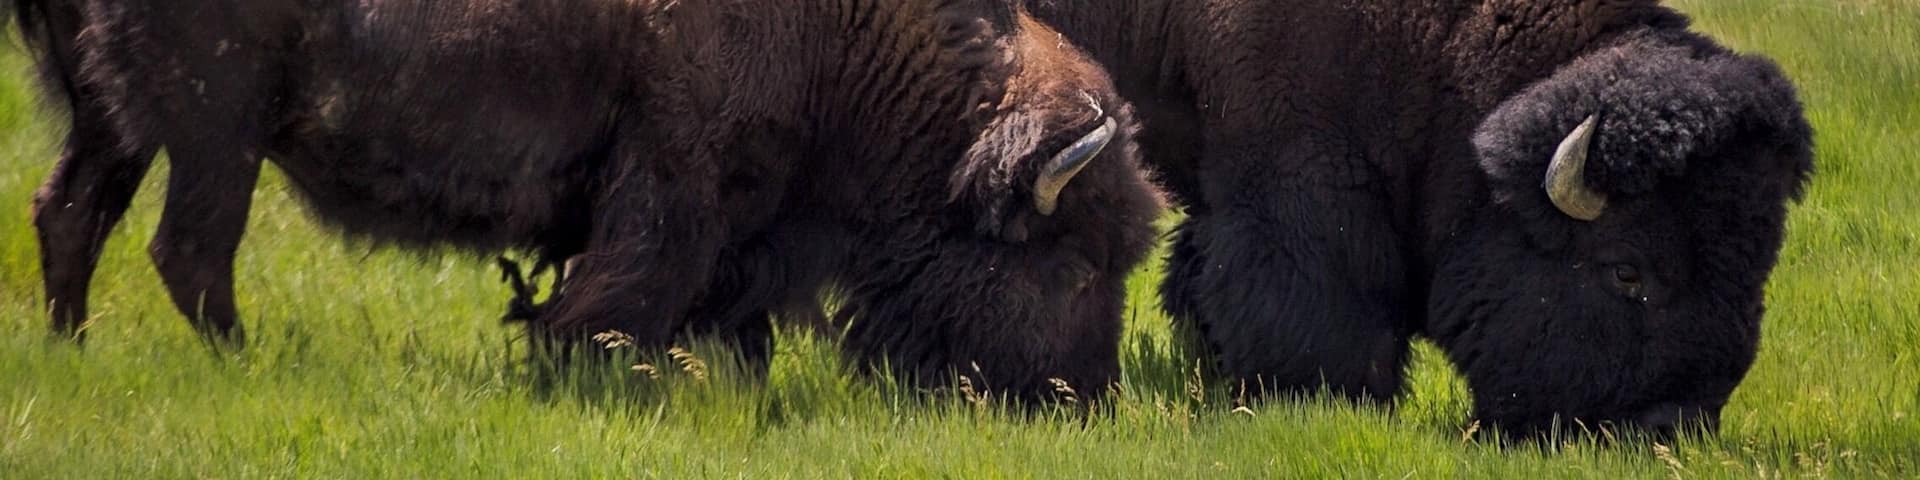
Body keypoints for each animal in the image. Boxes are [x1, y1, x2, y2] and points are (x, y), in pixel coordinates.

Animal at [9, 0, 1161, 399]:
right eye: (1071, 261)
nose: (1081, 396)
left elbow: (729, 312)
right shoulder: (675, 179)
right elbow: (633, 287)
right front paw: (597, 370)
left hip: (115, 122)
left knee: (71, 215)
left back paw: (73, 353)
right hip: (218, 129)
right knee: (190, 251)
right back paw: (247, 367)